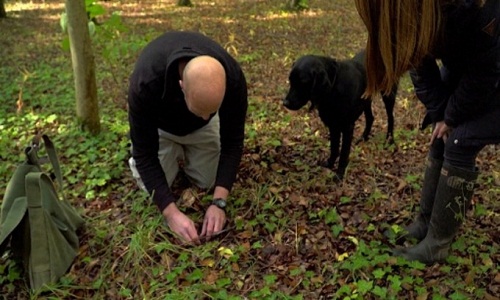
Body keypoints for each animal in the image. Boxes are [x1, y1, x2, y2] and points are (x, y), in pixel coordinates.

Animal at [284, 50, 396, 180]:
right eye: (290, 80)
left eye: (303, 82)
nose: (285, 103)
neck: (334, 87)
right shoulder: (333, 126)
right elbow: (334, 148)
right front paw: (329, 164)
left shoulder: (347, 128)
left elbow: (343, 153)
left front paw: (339, 174)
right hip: (366, 100)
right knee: (370, 118)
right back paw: (363, 138)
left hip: (388, 94)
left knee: (391, 118)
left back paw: (389, 140)